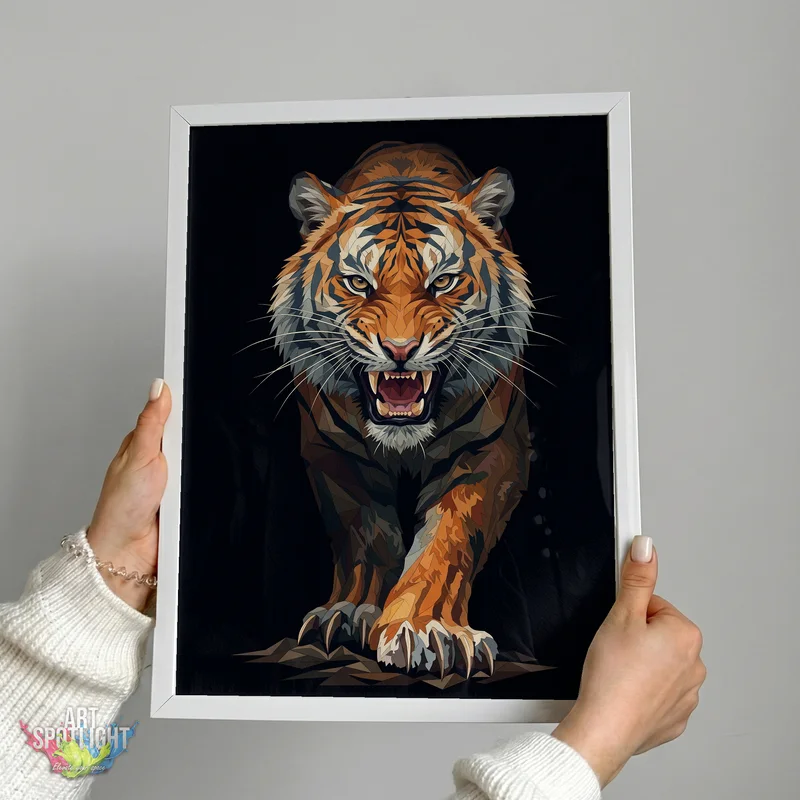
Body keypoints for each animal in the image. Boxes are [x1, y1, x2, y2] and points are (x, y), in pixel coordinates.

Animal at [268, 141, 534, 678]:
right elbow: (365, 536)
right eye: (357, 283)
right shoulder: (334, 451)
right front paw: (350, 612)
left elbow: (449, 540)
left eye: (444, 281)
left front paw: (429, 630)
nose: (399, 349)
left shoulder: (491, 450)